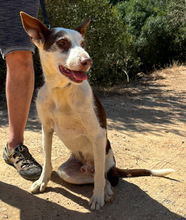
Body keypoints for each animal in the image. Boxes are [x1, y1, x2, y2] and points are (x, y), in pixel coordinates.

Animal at [20, 11, 173, 210]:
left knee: (106, 177)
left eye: (83, 44)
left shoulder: (98, 135)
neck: (63, 91)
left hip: (105, 157)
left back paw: (105, 192)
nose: (88, 61)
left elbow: (100, 176)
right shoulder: (46, 129)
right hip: (67, 172)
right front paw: (42, 182)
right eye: (62, 43)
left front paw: (98, 198)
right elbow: (47, 161)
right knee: (93, 176)